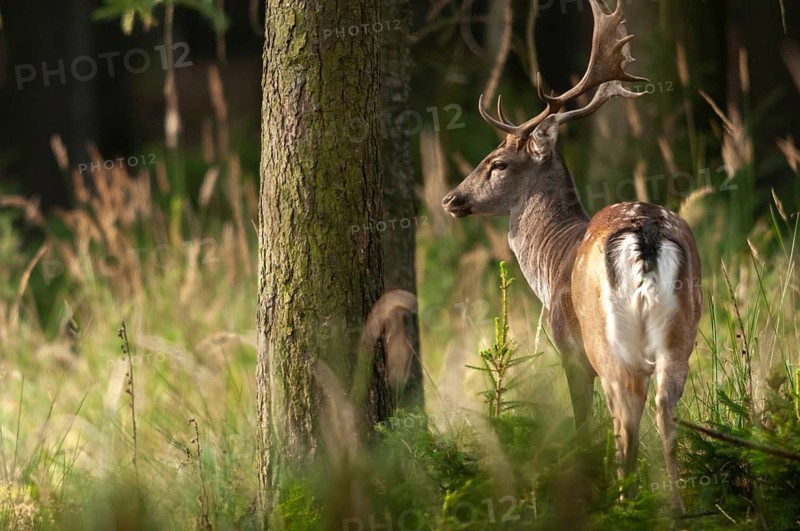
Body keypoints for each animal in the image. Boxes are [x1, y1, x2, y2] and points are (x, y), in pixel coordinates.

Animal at [441, 0, 701, 513]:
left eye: (498, 162)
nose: (451, 198)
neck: (551, 260)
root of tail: (645, 231)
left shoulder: (567, 343)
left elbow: (584, 421)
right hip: (681, 334)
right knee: (664, 411)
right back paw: (675, 508)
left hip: (606, 340)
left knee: (626, 416)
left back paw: (624, 502)